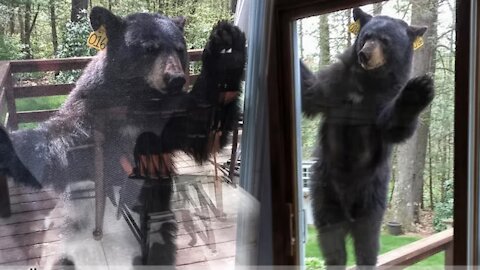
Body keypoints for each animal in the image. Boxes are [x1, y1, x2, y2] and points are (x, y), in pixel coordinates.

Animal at [0, 5, 244, 266]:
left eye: (180, 48)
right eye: (150, 48)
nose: (176, 79)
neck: (139, 102)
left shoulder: (168, 119)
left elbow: (202, 130)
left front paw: (226, 44)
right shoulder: (91, 116)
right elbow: (57, 145)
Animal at [302, 7, 434, 268]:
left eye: (385, 40)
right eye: (366, 37)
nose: (364, 54)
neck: (368, 83)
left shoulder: (384, 100)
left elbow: (393, 127)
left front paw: (417, 90)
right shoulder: (336, 84)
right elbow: (311, 92)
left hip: (372, 197)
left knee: (367, 241)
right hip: (323, 190)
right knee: (331, 239)